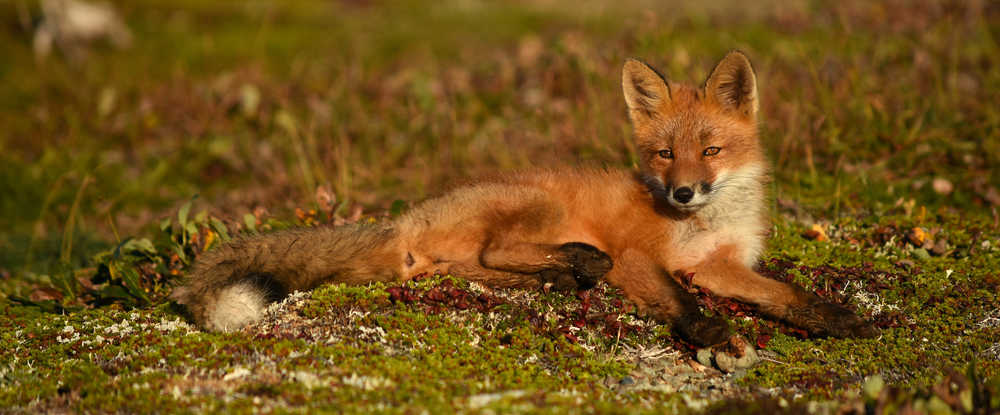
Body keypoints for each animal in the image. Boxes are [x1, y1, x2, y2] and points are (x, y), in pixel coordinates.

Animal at [172, 51, 876, 352]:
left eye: (710, 150)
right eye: (663, 154)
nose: (681, 191)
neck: (704, 221)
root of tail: (407, 216)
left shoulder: (718, 264)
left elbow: (785, 294)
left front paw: (839, 318)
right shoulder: (643, 259)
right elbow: (678, 300)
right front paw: (706, 331)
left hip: (456, 258)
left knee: (460, 270)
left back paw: (559, 277)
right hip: (538, 209)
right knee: (497, 253)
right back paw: (575, 266)